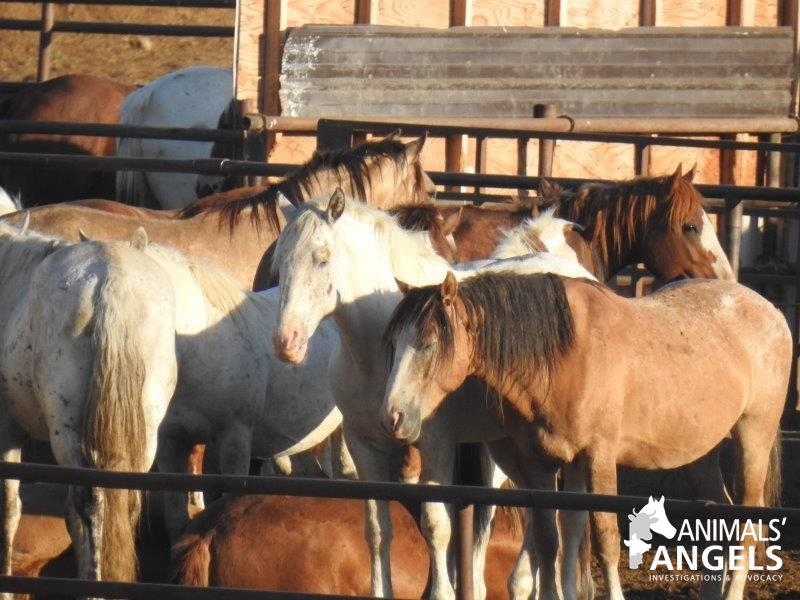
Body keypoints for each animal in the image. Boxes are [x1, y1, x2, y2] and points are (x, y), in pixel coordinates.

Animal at [0, 223, 179, 584]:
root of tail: (113, 283)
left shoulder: (6, 428)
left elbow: (8, 511)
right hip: (141, 434)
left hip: (67, 434)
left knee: (94, 506)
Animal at [270, 190, 596, 600]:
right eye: (280, 262)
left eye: (323, 257)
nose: (286, 342)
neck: (379, 353)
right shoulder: (365, 446)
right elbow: (378, 529)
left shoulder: (435, 445)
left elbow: (436, 526)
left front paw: (443, 591)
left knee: (566, 521)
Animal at [381, 270, 790, 600]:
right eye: (395, 343)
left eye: (429, 344)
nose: (392, 416)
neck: (566, 357)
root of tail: (772, 312)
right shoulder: (541, 464)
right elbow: (549, 540)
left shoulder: (599, 458)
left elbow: (606, 540)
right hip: (698, 454)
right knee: (719, 519)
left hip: (753, 435)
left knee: (747, 527)